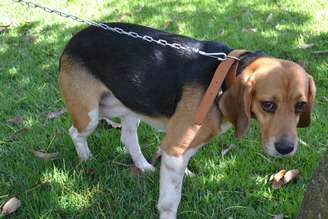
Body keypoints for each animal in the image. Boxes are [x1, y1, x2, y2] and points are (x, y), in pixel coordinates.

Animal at [58, 23, 316, 218]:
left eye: (300, 105)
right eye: (268, 105)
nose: (286, 149)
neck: (225, 78)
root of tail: (74, 39)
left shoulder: (182, 147)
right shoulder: (174, 149)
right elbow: (170, 201)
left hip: (127, 106)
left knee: (127, 136)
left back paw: (143, 166)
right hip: (90, 114)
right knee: (74, 132)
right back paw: (86, 159)